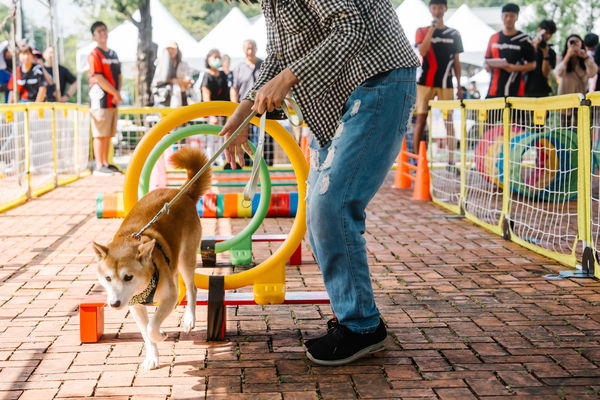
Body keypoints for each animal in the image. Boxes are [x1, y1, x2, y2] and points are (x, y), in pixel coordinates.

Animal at [90, 147, 210, 368]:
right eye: (108, 278)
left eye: (128, 277)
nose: (114, 304)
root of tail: (181, 193)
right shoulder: (135, 307)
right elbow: (145, 332)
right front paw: (152, 357)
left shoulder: (168, 298)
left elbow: (152, 326)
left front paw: (160, 334)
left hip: (186, 258)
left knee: (191, 288)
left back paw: (189, 318)